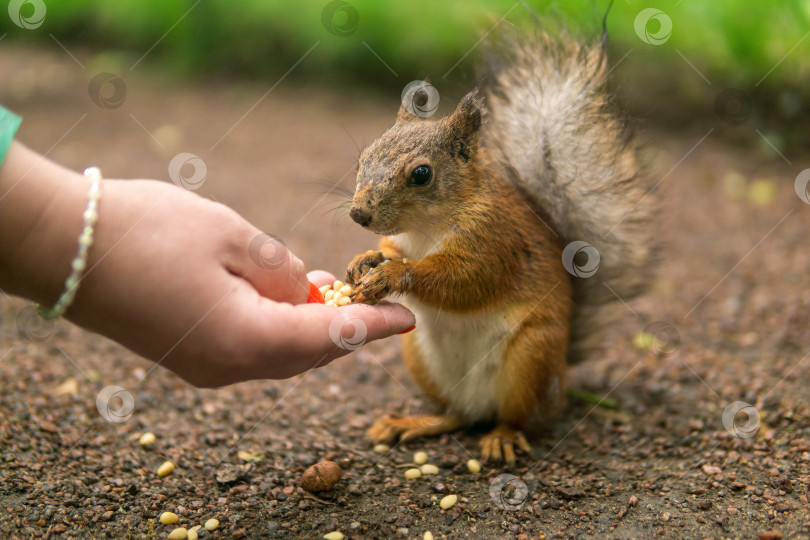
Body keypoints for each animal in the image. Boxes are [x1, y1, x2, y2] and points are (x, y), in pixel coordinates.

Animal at [344, 28, 652, 464]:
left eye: (421, 174)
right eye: (362, 160)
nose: (359, 214)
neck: (424, 229)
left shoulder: (497, 240)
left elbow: (467, 281)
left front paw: (393, 274)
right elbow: (391, 248)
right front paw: (365, 260)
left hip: (530, 358)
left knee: (518, 418)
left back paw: (502, 436)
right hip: (421, 359)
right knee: (455, 416)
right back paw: (414, 423)